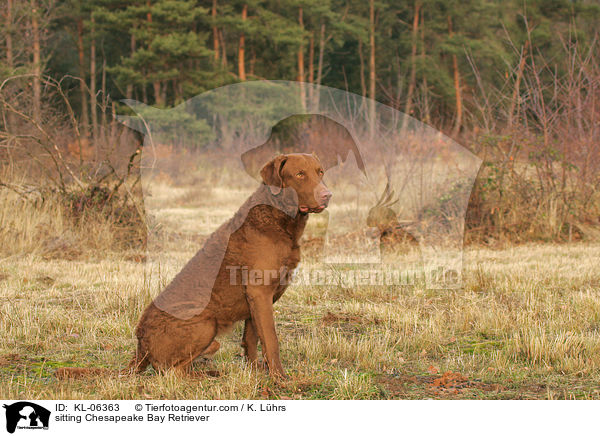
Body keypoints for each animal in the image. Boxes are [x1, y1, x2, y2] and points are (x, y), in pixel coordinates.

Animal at [126, 153, 330, 378]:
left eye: (320, 172)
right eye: (300, 174)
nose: (327, 195)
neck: (279, 220)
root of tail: (140, 345)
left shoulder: (255, 300)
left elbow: (251, 339)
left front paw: (254, 371)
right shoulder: (260, 292)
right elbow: (271, 340)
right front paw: (280, 378)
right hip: (205, 324)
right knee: (172, 371)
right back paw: (207, 375)